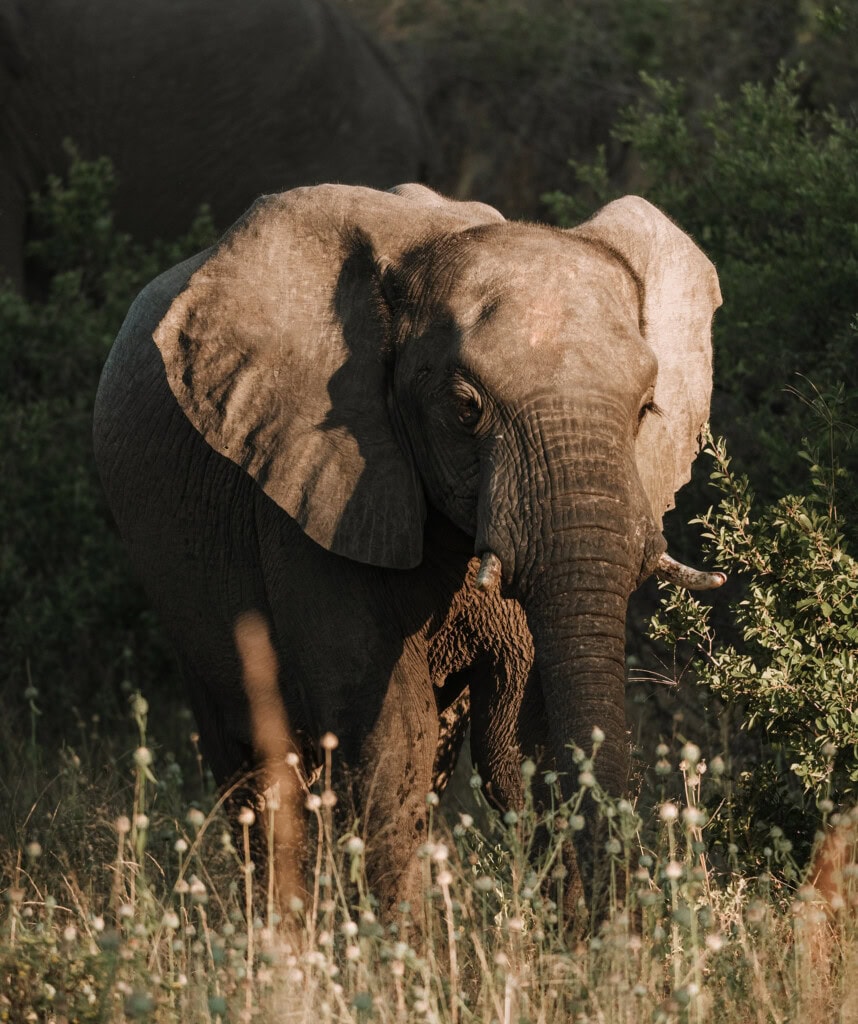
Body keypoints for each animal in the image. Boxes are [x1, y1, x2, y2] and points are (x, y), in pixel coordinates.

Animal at [93, 181, 724, 918]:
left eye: (647, 409)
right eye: (465, 408)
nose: (615, 927)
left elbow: (516, 738)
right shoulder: (313, 493)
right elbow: (392, 734)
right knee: (256, 764)